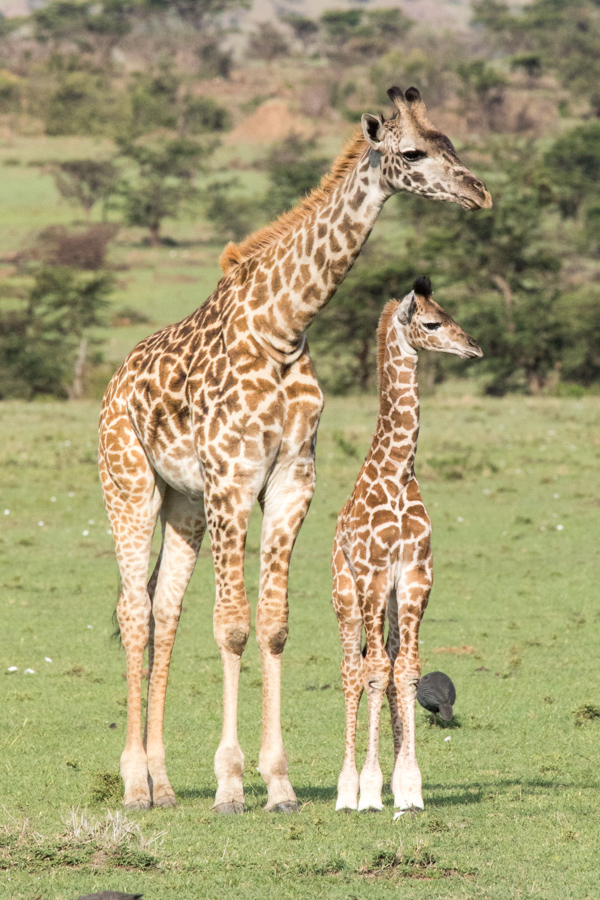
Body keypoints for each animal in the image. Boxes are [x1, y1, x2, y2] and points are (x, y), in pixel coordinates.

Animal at [332, 277, 483, 813]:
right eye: (433, 323)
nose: (473, 347)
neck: (399, 472)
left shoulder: (416, 576)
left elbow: (408, 672)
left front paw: (409, 788)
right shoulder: (375, 575)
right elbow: (375, 672)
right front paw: (370, 790)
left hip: (393, 602)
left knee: (391, 663)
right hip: (347, 594)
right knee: (353, 671)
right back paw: (347, 790)